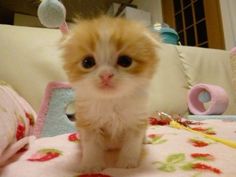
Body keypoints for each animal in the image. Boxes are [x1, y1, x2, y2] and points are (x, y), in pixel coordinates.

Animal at [61, 15, 160, 172]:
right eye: (87, 62)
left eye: (125, 61)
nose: (105, 75)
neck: (111, 101)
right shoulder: (88, 122)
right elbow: (91, 146)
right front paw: (91, 165)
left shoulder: (136, 121)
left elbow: (132, 145)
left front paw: (127, 163)